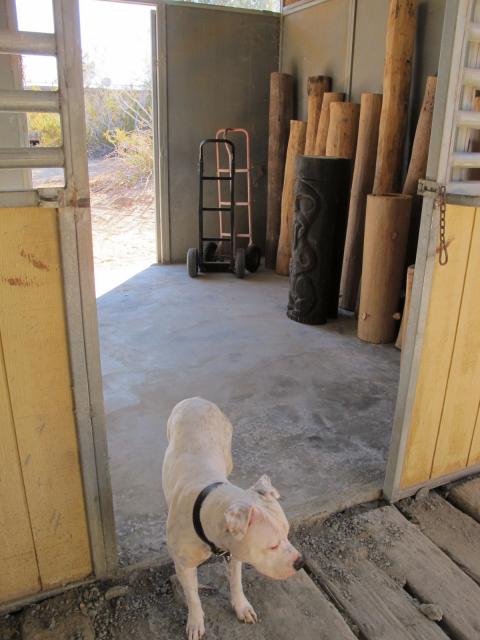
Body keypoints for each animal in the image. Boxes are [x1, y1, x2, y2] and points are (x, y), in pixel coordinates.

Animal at [162, 397, 304, 640]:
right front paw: (195, 622)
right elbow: (193, 597)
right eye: (273, 545)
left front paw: (241, 606)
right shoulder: (184, 567)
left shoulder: (236, 552)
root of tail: (196, 399)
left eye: (287, 534)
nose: (300, 562)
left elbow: (236, 581)